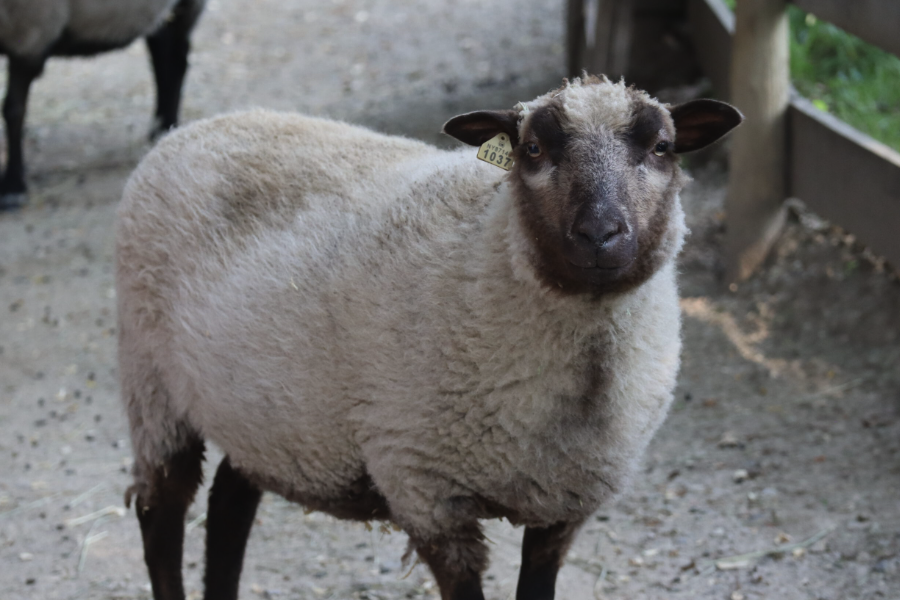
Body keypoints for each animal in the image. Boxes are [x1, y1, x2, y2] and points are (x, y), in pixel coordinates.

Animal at [0, 0, 206, 209]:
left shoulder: (31, 35)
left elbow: (13, 111)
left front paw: (12, 186)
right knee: (165, 55)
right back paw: (160, 131)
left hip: (187, 6)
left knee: (175, 61)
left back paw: (166, 129)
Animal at [116, 76, 740, 600]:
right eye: (533, 150)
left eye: (661, 147)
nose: (599, 235)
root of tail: (199, 127)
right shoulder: (429, 492)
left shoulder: (563, 507)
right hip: (153, 385)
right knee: (160, 513)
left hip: (267, 414)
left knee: (229, 501)